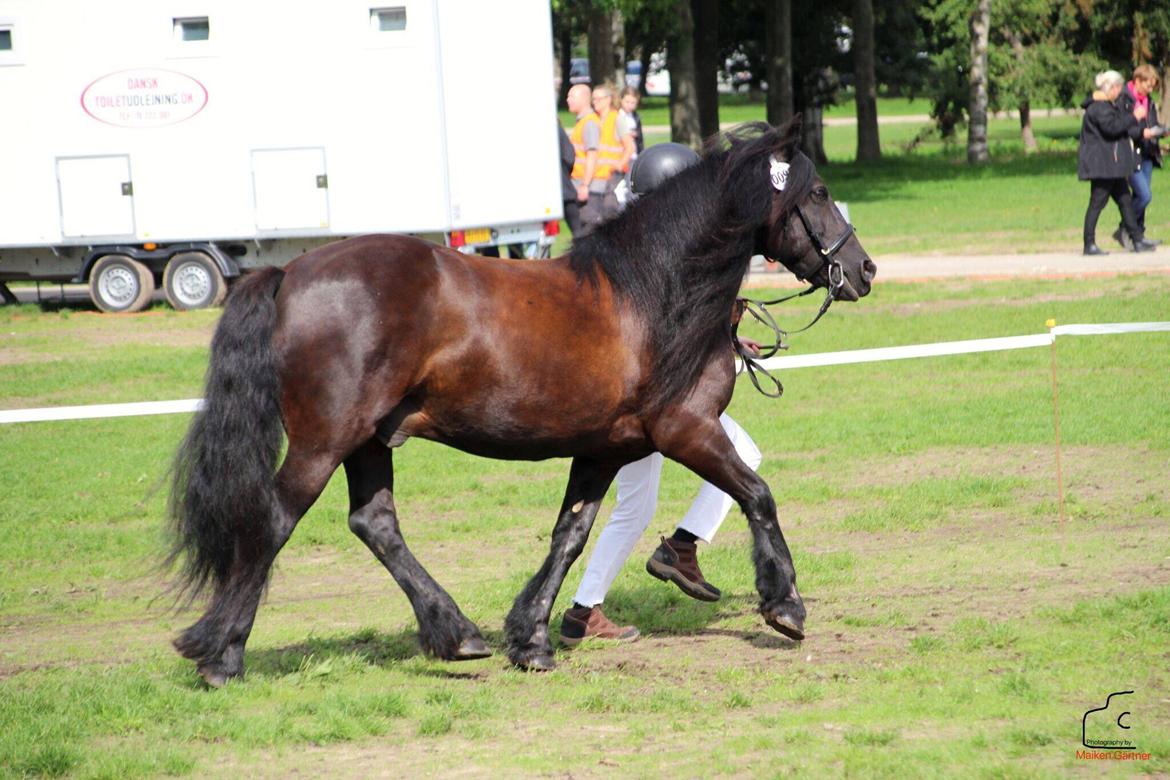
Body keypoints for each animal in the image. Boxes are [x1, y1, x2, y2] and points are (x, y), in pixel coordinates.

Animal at [167, 119, 876, 686]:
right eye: (817, 193)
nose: (864, 270)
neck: (650, 295)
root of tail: (292, 272)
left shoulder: (604, 450)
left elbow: (571, 537)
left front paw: (531, 639)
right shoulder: (689, 430)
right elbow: (758, 495)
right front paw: (784, 604)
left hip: (369, 440)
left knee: (375, 524)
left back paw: (457, 635)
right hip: (324, 441)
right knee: (273, 522)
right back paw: (221, 654)